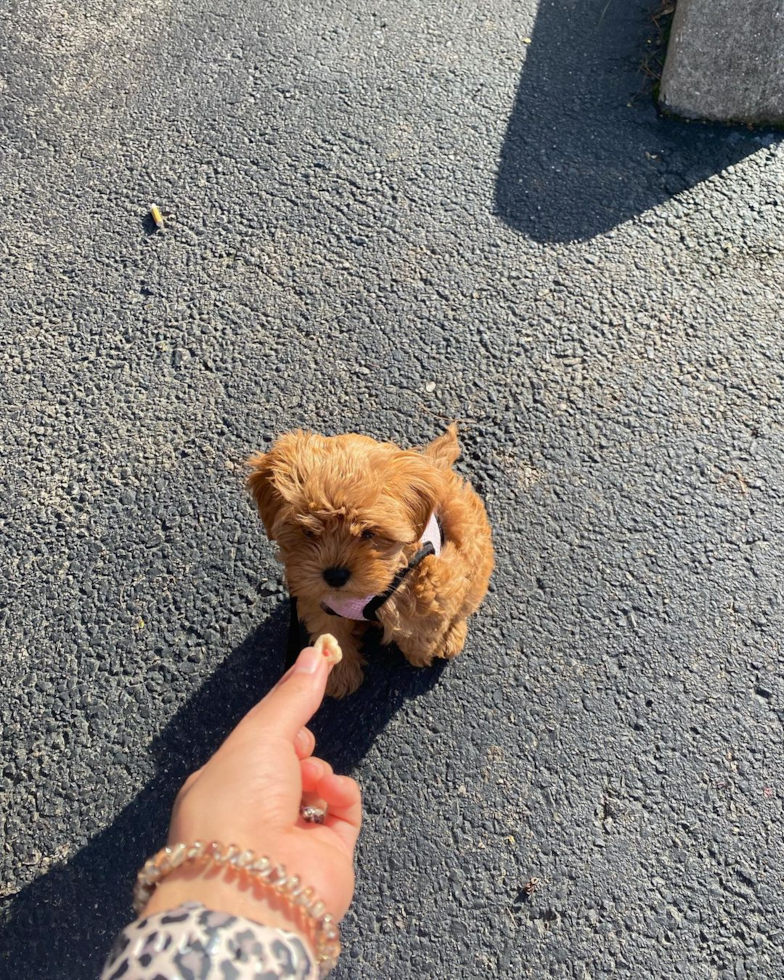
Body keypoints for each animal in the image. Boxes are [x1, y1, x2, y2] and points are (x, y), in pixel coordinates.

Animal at [247, 424, 490, 696]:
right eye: (308, 531)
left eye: (368, 533)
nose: (335, 575)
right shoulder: (317, 599)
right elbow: (329, 629)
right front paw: (339, 676)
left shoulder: (431, 585)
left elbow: (425, 627)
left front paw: (422, 652)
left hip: (471, 547)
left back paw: (451, 637)